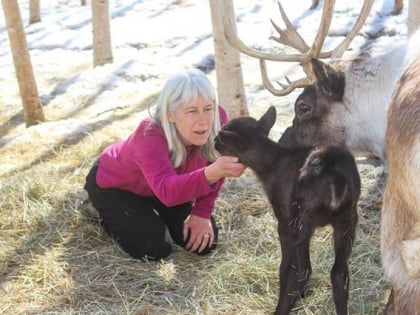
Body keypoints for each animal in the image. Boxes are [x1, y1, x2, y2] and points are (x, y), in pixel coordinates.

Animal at [217, 107, 360, 315]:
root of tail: (336, 175)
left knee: (303, 270)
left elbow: (285, 266)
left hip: (303, 218)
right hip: (347, 219)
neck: (271, 163)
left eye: (221, 141)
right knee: (339, 272)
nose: (214, 141)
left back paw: (281, 308)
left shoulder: (284, 219)